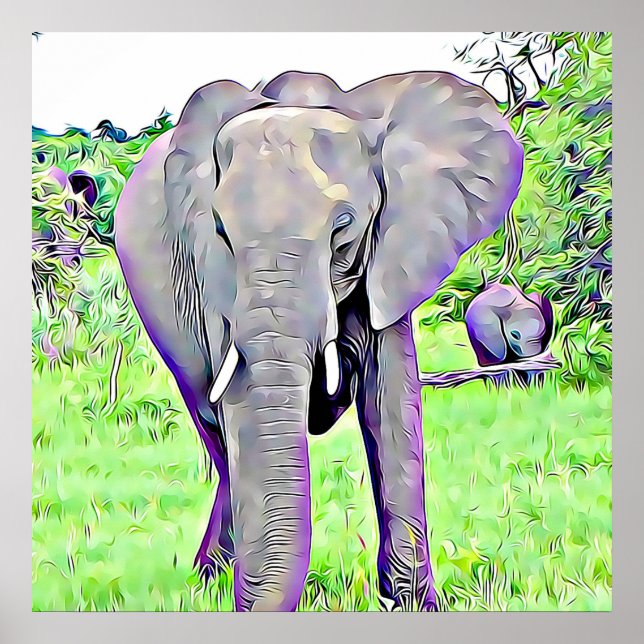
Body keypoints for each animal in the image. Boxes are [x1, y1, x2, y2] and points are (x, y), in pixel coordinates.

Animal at [113, 71, 523, 611]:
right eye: (220, 231)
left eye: (342, 229)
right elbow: (243, 409)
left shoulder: (391, 256)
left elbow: (390, 402)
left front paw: (410, 605)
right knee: (215, 431)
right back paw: (213, 576)